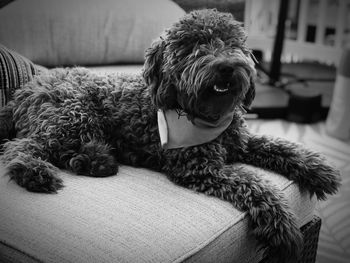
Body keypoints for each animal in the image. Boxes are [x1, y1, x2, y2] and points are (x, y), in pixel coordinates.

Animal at [0, 9, 340, 262]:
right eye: (192, 47)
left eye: (230, 42)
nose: (226, 67)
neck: (202, 114)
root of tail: (24, 90)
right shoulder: (198, 167)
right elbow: (254, 184)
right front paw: (282, 225)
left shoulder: (239, 142)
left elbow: (277, 145)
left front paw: (317, 169)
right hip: (72, 114)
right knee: (21, 147)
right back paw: (36, 173)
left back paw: (97, 160)